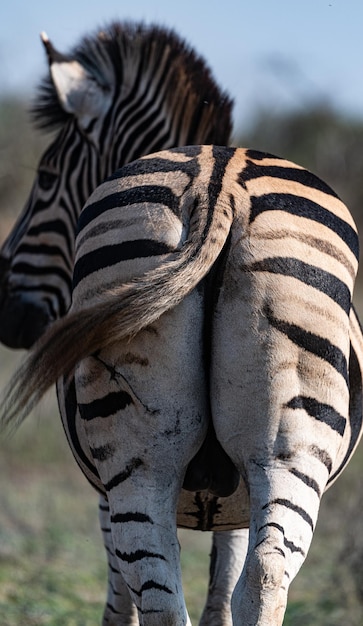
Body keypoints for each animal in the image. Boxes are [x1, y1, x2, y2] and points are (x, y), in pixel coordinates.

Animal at [0, 23, 249, 624]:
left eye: (46, 177)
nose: (2, 312)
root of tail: (215, 208)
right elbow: (216, 600)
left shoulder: (105, 485)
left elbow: (122, 599)